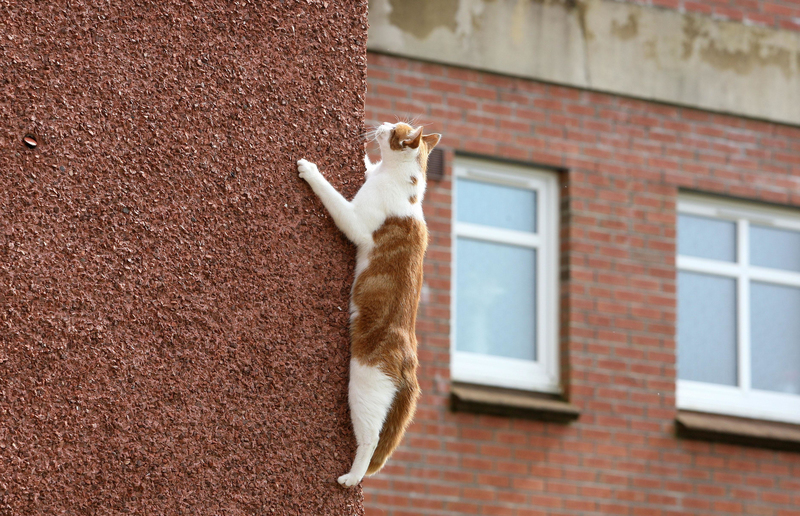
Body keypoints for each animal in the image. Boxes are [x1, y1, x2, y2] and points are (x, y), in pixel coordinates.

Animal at [296, 121, 440, 488]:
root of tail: (410, 360)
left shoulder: (356, 221)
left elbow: (333, 197)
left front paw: (310, 170)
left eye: (395, 130)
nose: (384, 124)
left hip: (363, 388)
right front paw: (364, 158)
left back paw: (351, 477)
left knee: (371, 439)